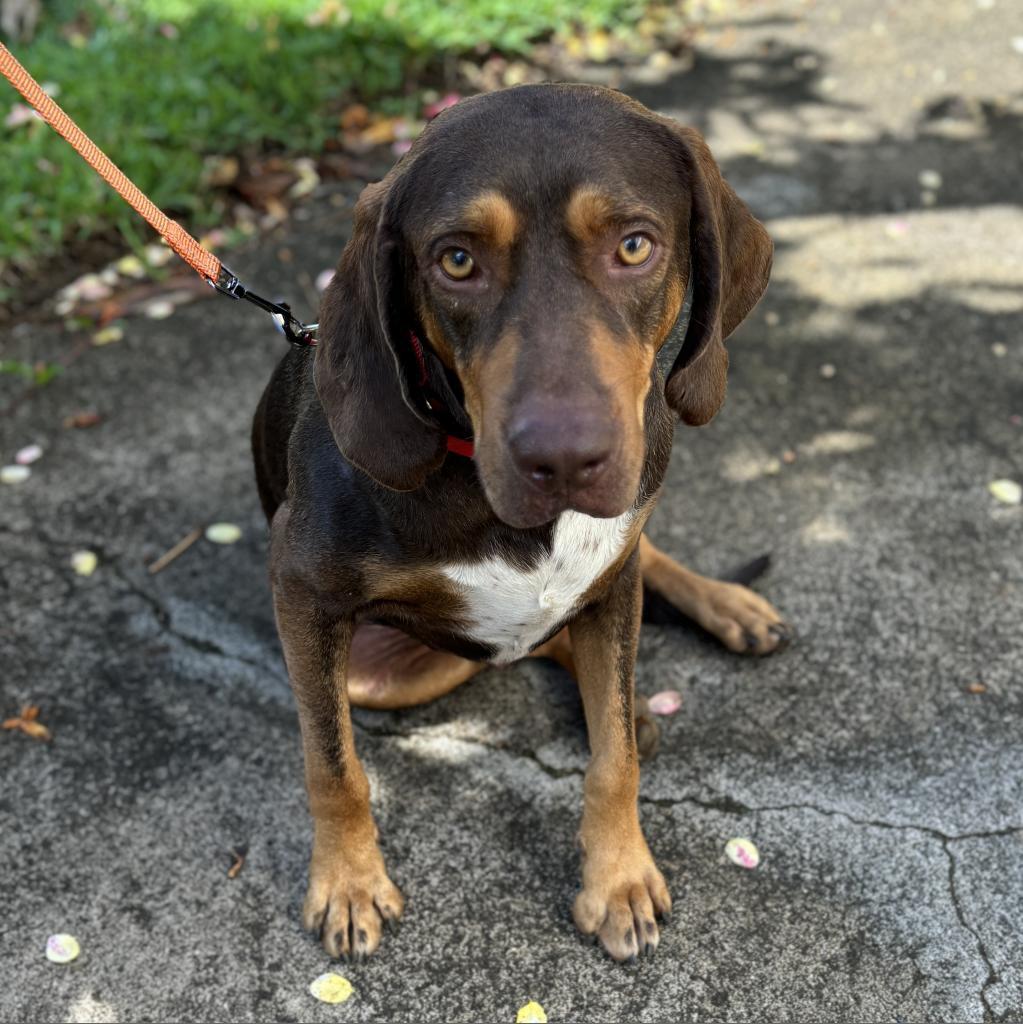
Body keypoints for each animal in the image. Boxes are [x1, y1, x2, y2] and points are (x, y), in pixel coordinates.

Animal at [249, 83, 790, 962]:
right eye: (456, 260)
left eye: (634, 245)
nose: (563, 459)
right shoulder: (302, 594)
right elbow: (332, 765)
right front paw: (348, 883)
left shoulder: (614, 575)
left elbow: (614, 759)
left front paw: (618, 877)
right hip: (389, 672)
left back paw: (720, 611)